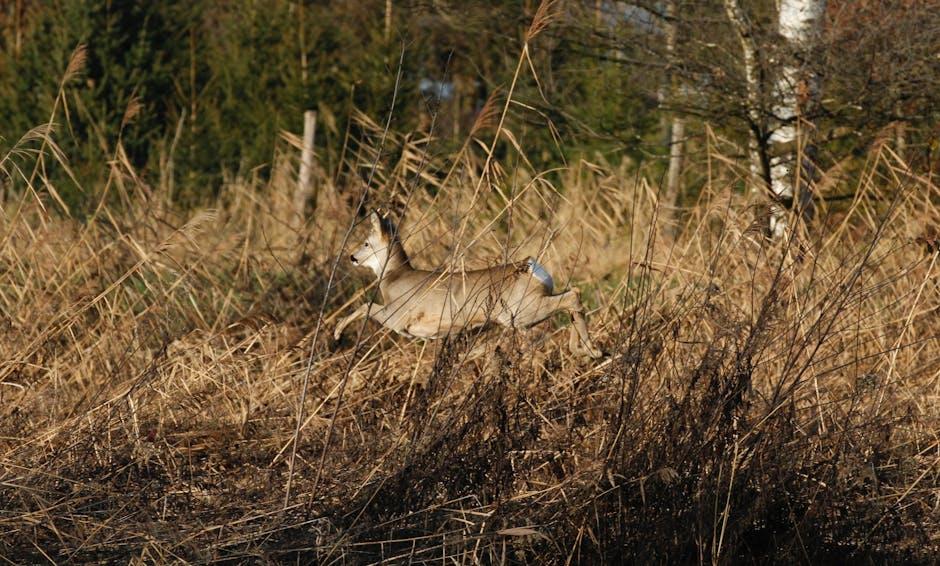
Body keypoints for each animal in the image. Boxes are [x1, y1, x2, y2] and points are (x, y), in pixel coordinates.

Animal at [334, 213, 604, 360]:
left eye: (366, 243)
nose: (352, 257)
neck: (393, 277)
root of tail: (532, 267)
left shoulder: (399, 317)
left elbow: (365, 306)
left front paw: (337, 332)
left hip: (520, 312)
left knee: (571, 297)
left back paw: (591, 350)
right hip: (526, 309)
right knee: (571, 298)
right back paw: (586, 350)